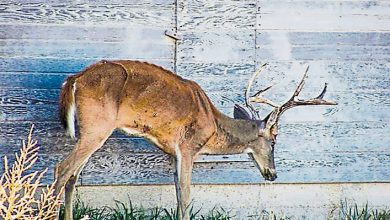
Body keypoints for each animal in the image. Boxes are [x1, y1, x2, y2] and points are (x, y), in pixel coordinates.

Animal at [53, 60, 336, 220]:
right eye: (275, 140)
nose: (273, 175)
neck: (213, 125)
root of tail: (73, 80)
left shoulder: (173, 153)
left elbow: (178, 193)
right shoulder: (188, 146)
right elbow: (187, 194)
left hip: (91, 130)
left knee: (72, 175)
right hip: (97, 126)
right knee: (62, 168)